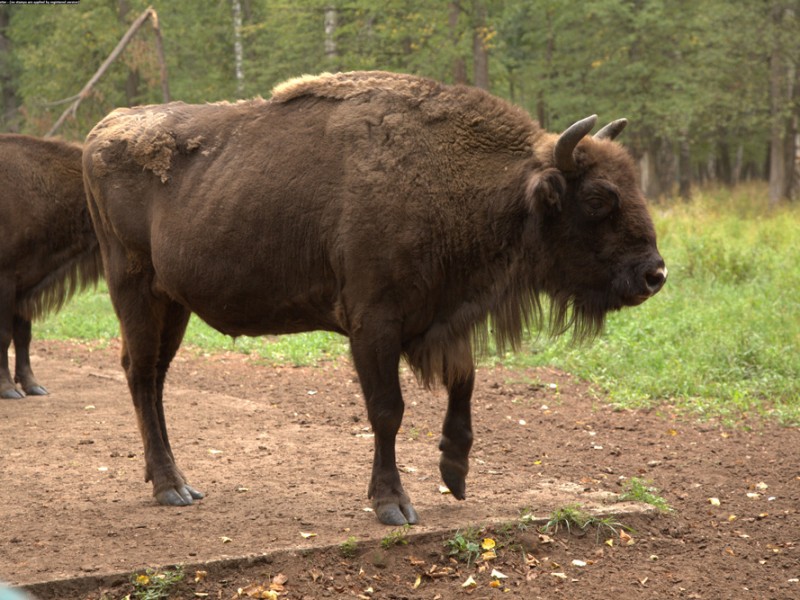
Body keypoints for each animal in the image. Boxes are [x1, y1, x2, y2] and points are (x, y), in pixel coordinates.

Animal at [0, 135, 101, 398]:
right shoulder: (5, 282)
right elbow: (4, 335)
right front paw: (8, 388)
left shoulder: (24, 285)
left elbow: (23, 335)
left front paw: (32, 385)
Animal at [84, 71, 664, 524]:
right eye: (598, 198)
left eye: (634, 184)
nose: (654, 274)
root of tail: (99, 134)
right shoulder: (373, 325)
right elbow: (388, 410)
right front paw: (393, 504)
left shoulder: (443, 317)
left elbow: (465, 381)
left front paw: (455, 471)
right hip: (134, 289)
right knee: (141, 373)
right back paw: (170, 487)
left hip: (173, 303)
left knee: (155, 377)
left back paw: (171, 479)